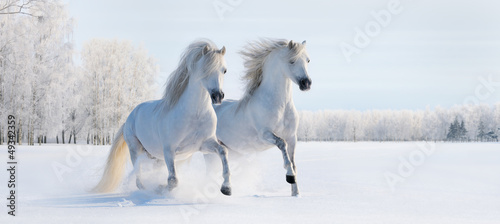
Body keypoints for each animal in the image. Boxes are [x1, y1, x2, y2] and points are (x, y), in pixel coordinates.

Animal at [93, 40, 231, 196]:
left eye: (224, 70)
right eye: (205, 69)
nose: (218, 96)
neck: (195, 115)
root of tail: (129, 118)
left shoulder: (204, 145)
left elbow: (223, 151)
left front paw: (226, 188)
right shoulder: (169, 150)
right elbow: (173, 180)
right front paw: (160, 189)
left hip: (156, 157)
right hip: (135, 149)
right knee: (138, 177)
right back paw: (146, 190)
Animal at [212, 38, 310, 196]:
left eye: (308, 60)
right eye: (292, 61)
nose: (306, 83)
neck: (280, 106)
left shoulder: (292, 137)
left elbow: (293, 162)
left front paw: (295, 193)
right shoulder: (265, 134)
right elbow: (282, 144)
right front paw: (289, 176)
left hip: (231, 151)